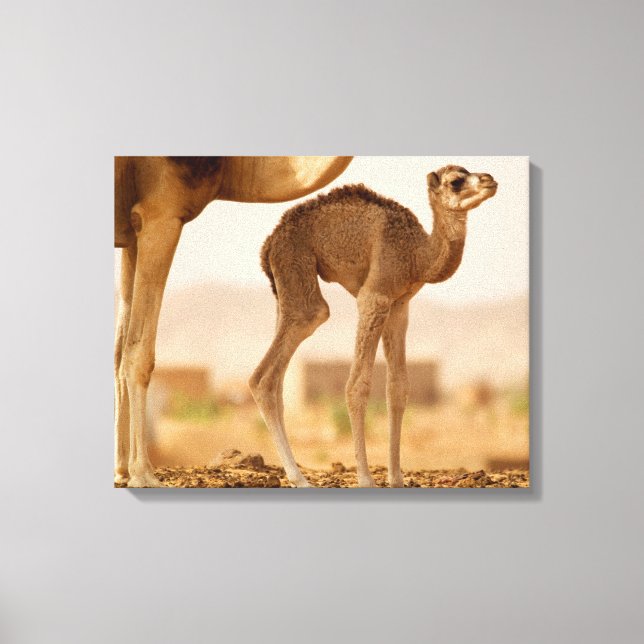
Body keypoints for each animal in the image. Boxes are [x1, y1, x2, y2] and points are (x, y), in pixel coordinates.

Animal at [114, 156, 352, 487]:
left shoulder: (131, 232)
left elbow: (119, 352)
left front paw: (122, 471)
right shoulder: (160, 212)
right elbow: (139, 353)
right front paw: (142, 474)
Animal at [250, 165, 497, 487]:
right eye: (456, 181)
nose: (490, 180)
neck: (416, 254)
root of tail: (269, 243)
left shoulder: (400, 305)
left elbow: (398, 387)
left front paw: (396, 478)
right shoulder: (374, 296)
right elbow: (358, 385)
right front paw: (366, 479)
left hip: (284, 288)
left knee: (277, 375)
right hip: (296, 266)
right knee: (273, 366)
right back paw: (300, 479)